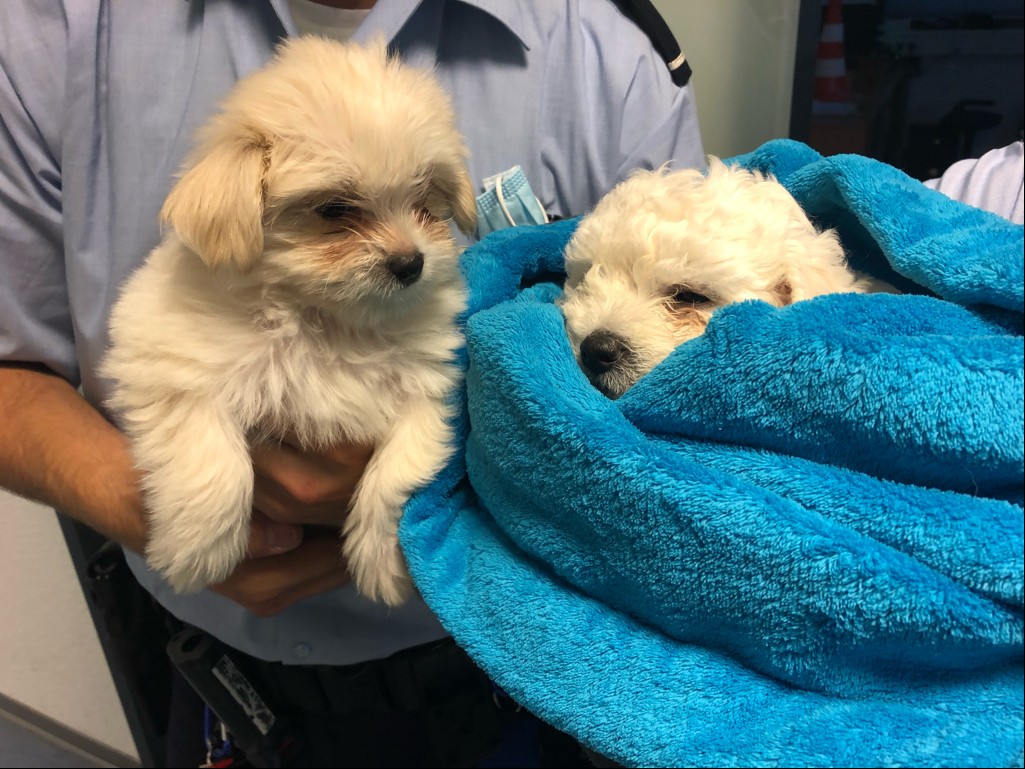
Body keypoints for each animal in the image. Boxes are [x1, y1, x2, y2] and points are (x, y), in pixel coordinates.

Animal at [99, 37, 475, 606]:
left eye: (425, 201)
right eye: (335, 209)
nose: (411, 263)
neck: (326, 320)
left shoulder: (428, 391)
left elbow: (401, 470)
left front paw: (383, 563)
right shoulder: (166, 361)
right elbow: (213, 456)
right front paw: (197, 550)